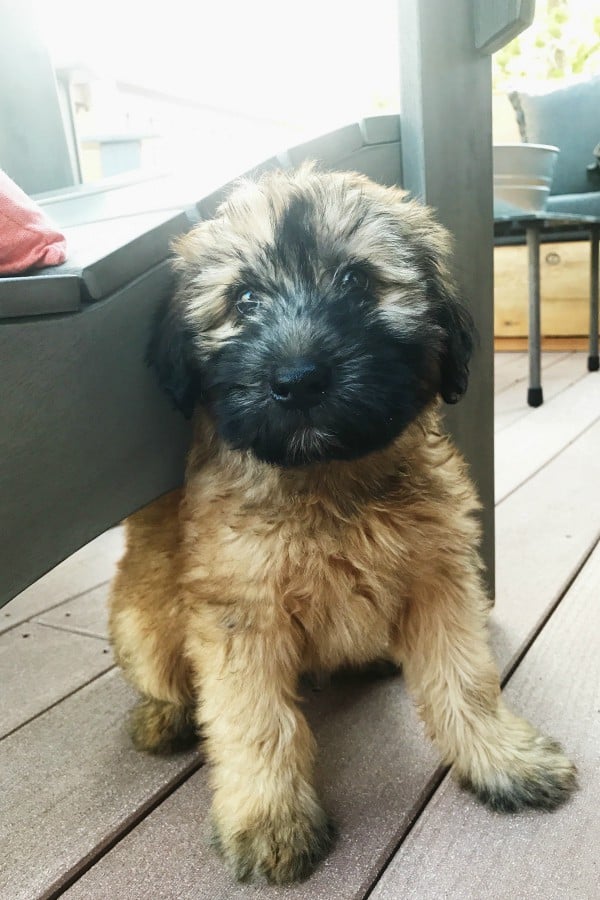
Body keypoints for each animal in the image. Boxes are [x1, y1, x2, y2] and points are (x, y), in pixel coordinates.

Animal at [110, 165, 580, 884]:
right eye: (244, 299)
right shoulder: (240, 614)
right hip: (143, 617)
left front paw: (502, 758)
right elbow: (255, 722)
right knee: (160, 671)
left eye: (358, 281)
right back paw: (163, 718)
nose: (299, 380)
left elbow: (466, 680)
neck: (329, 481)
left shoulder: (440, 578)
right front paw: (269, 821)